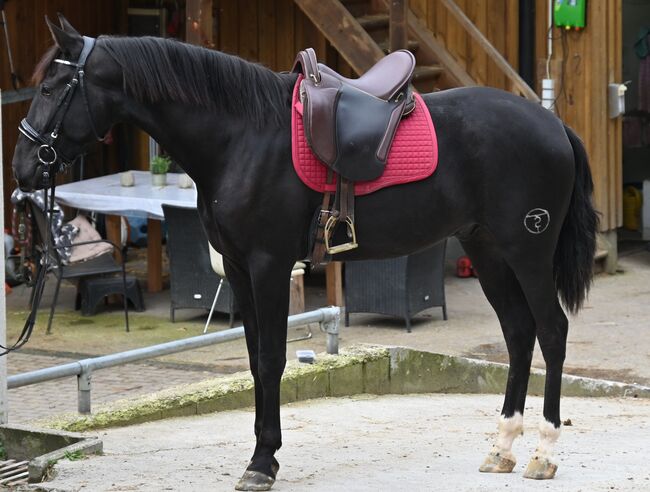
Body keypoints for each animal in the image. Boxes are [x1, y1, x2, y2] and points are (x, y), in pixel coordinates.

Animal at [11, 17, 596, 490]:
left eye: (53, 85)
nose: (21, 169)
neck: (241, 137)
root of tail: (554, 125)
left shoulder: (269, 265)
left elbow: (273, 359)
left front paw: (262, 461)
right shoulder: (240, 269)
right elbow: (253, 359)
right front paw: (260, 450)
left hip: (528, 252)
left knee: (552, 332)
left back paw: (543, 452)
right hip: (489, 250)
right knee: (519, 333)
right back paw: (502, 447)